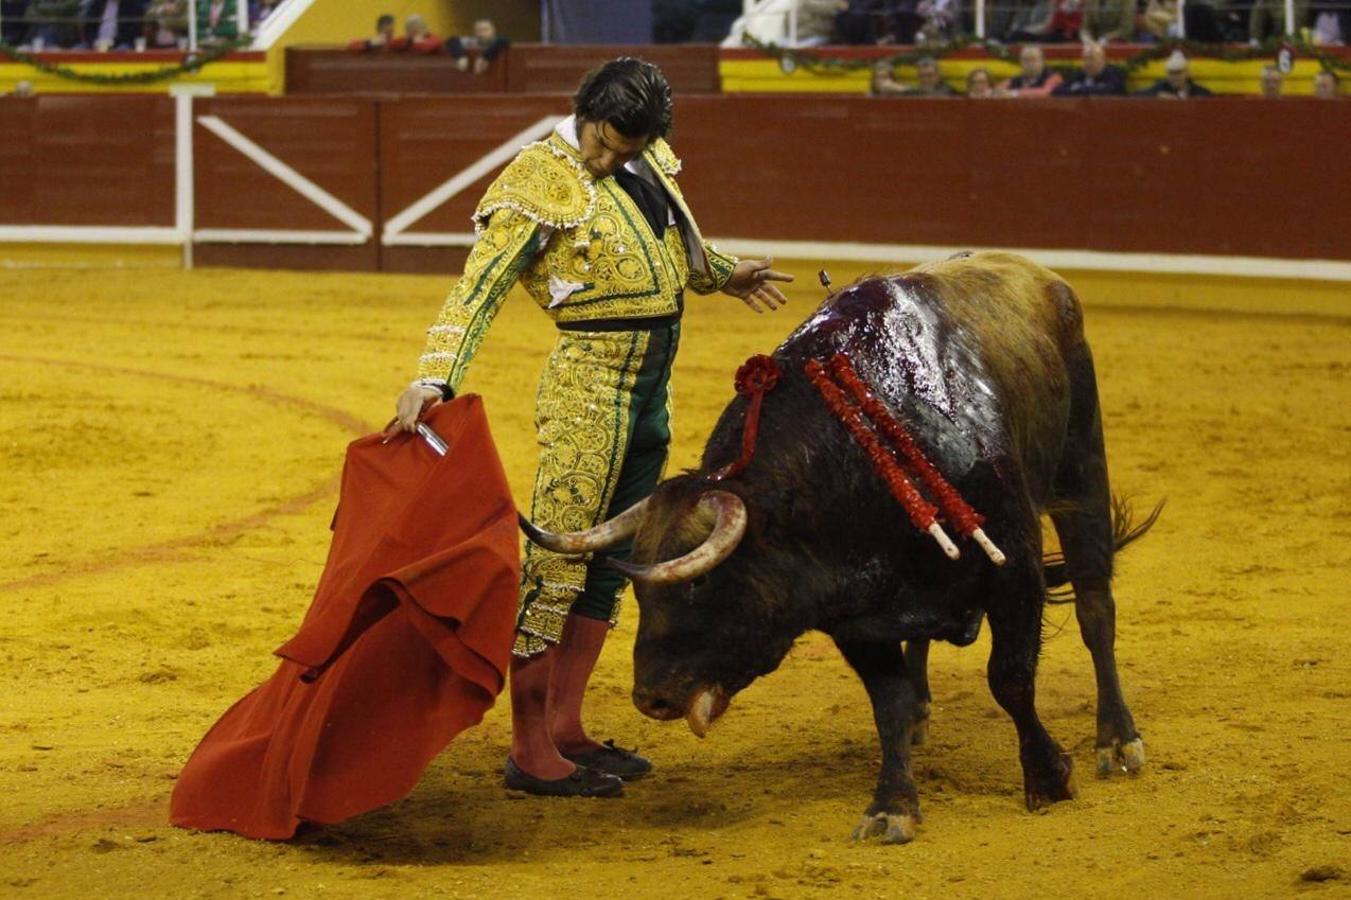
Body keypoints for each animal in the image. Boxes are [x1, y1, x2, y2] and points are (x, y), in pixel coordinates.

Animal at [521, 250, 1156, 843]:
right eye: (641, 593)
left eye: (700, 582)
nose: (650, 698)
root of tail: (1042, 275)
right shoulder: (854, 614)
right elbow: (888, 703)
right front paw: (892, 805)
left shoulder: (1015, 566)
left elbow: (1012, 678)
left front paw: (1049, 777)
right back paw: (925, 716)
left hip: (1081, 470)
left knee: (1096, 608)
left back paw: (1117, 739)